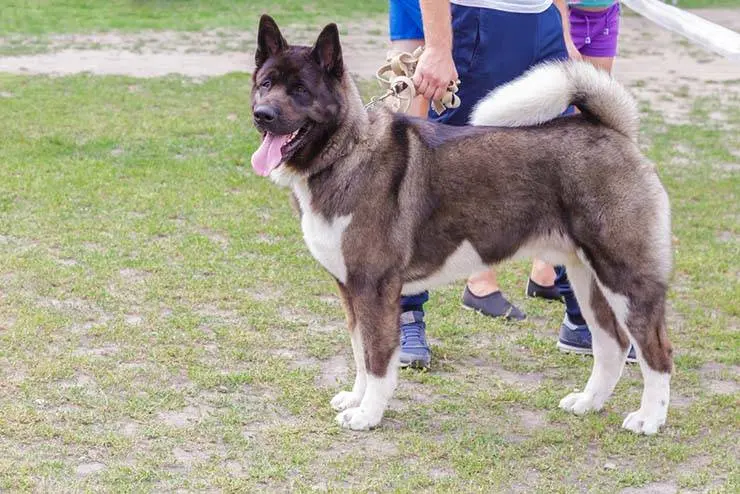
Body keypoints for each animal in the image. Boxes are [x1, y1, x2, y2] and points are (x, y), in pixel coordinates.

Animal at [251, 13, 672, 434]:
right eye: (266, 84)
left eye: (301, 90)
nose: (263, 114)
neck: (347, 151)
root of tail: (613, 131)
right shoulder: (349, 288)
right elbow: (359, 351)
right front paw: (356, 398)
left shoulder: (374, 287)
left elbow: (376, 359)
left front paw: (368, 414)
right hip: (587, 278)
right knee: (612, 344)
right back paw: (588, 403)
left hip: (624, 277)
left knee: (656, 351)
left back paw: (649, 418)